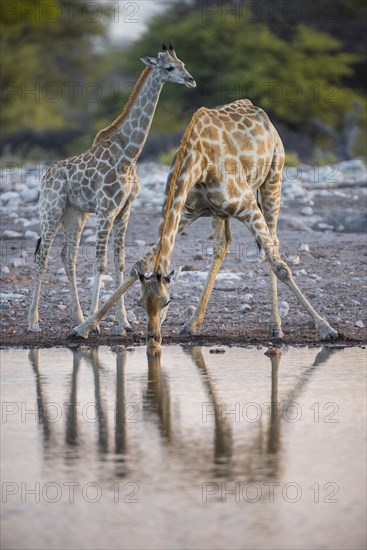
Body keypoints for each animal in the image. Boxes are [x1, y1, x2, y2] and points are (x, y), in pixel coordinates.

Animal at [27, 43, 197, 334]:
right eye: (169, 68)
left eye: (183, 63)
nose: (190, 79)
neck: (130, 154)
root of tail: (46, 176)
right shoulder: (107, 208)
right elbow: (101, 262)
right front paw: (93, 324)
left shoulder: (124, 210)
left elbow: (121, 263)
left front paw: (123, 322)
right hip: (52, 210)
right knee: (43, 257)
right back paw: (34, 322)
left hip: (75, 214)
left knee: (67, 258)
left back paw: (77, 316)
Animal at [69, 99, 340, 348]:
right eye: (141, 303)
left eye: (168, 301)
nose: (153, 337)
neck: (197, 162)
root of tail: (260, 112)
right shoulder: (187, 211)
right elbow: (141, 262)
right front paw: (84, 327)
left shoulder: (248, 206)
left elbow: (281, 267)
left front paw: (327, 329)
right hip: (220, 212)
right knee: (223, 245)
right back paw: (192, 324)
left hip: (273, 179)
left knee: (272, 245)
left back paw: (276, 327)